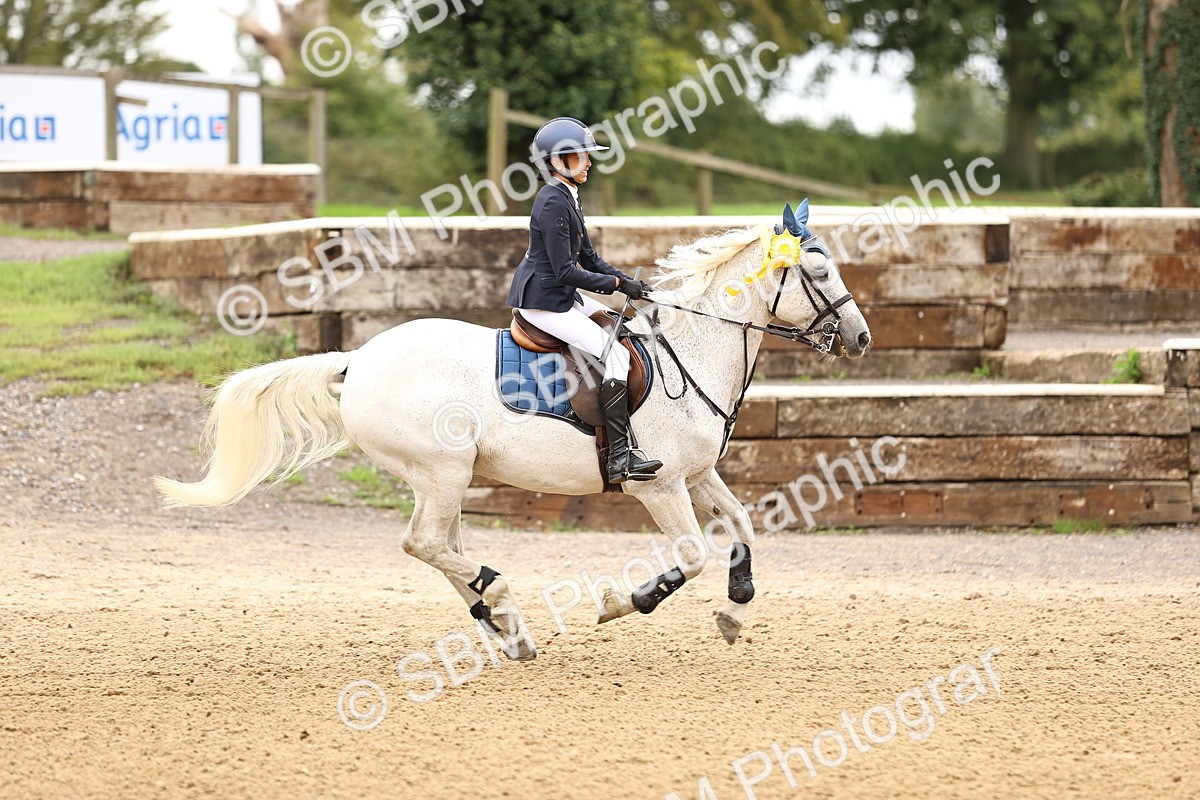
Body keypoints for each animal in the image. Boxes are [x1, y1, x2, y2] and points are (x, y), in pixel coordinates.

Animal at [155, 201, 872, 660]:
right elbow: (692, 555)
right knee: (423, 544)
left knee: (440, 547)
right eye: (819, 273)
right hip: (442, 471)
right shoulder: (660, 486)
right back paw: (500, 600)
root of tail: (359, 358)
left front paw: (734, 608)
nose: (861, 339)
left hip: (444, 478)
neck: (688, 354)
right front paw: (622, 603)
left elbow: (744, 524)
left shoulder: (699, 474)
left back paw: (503, 626)